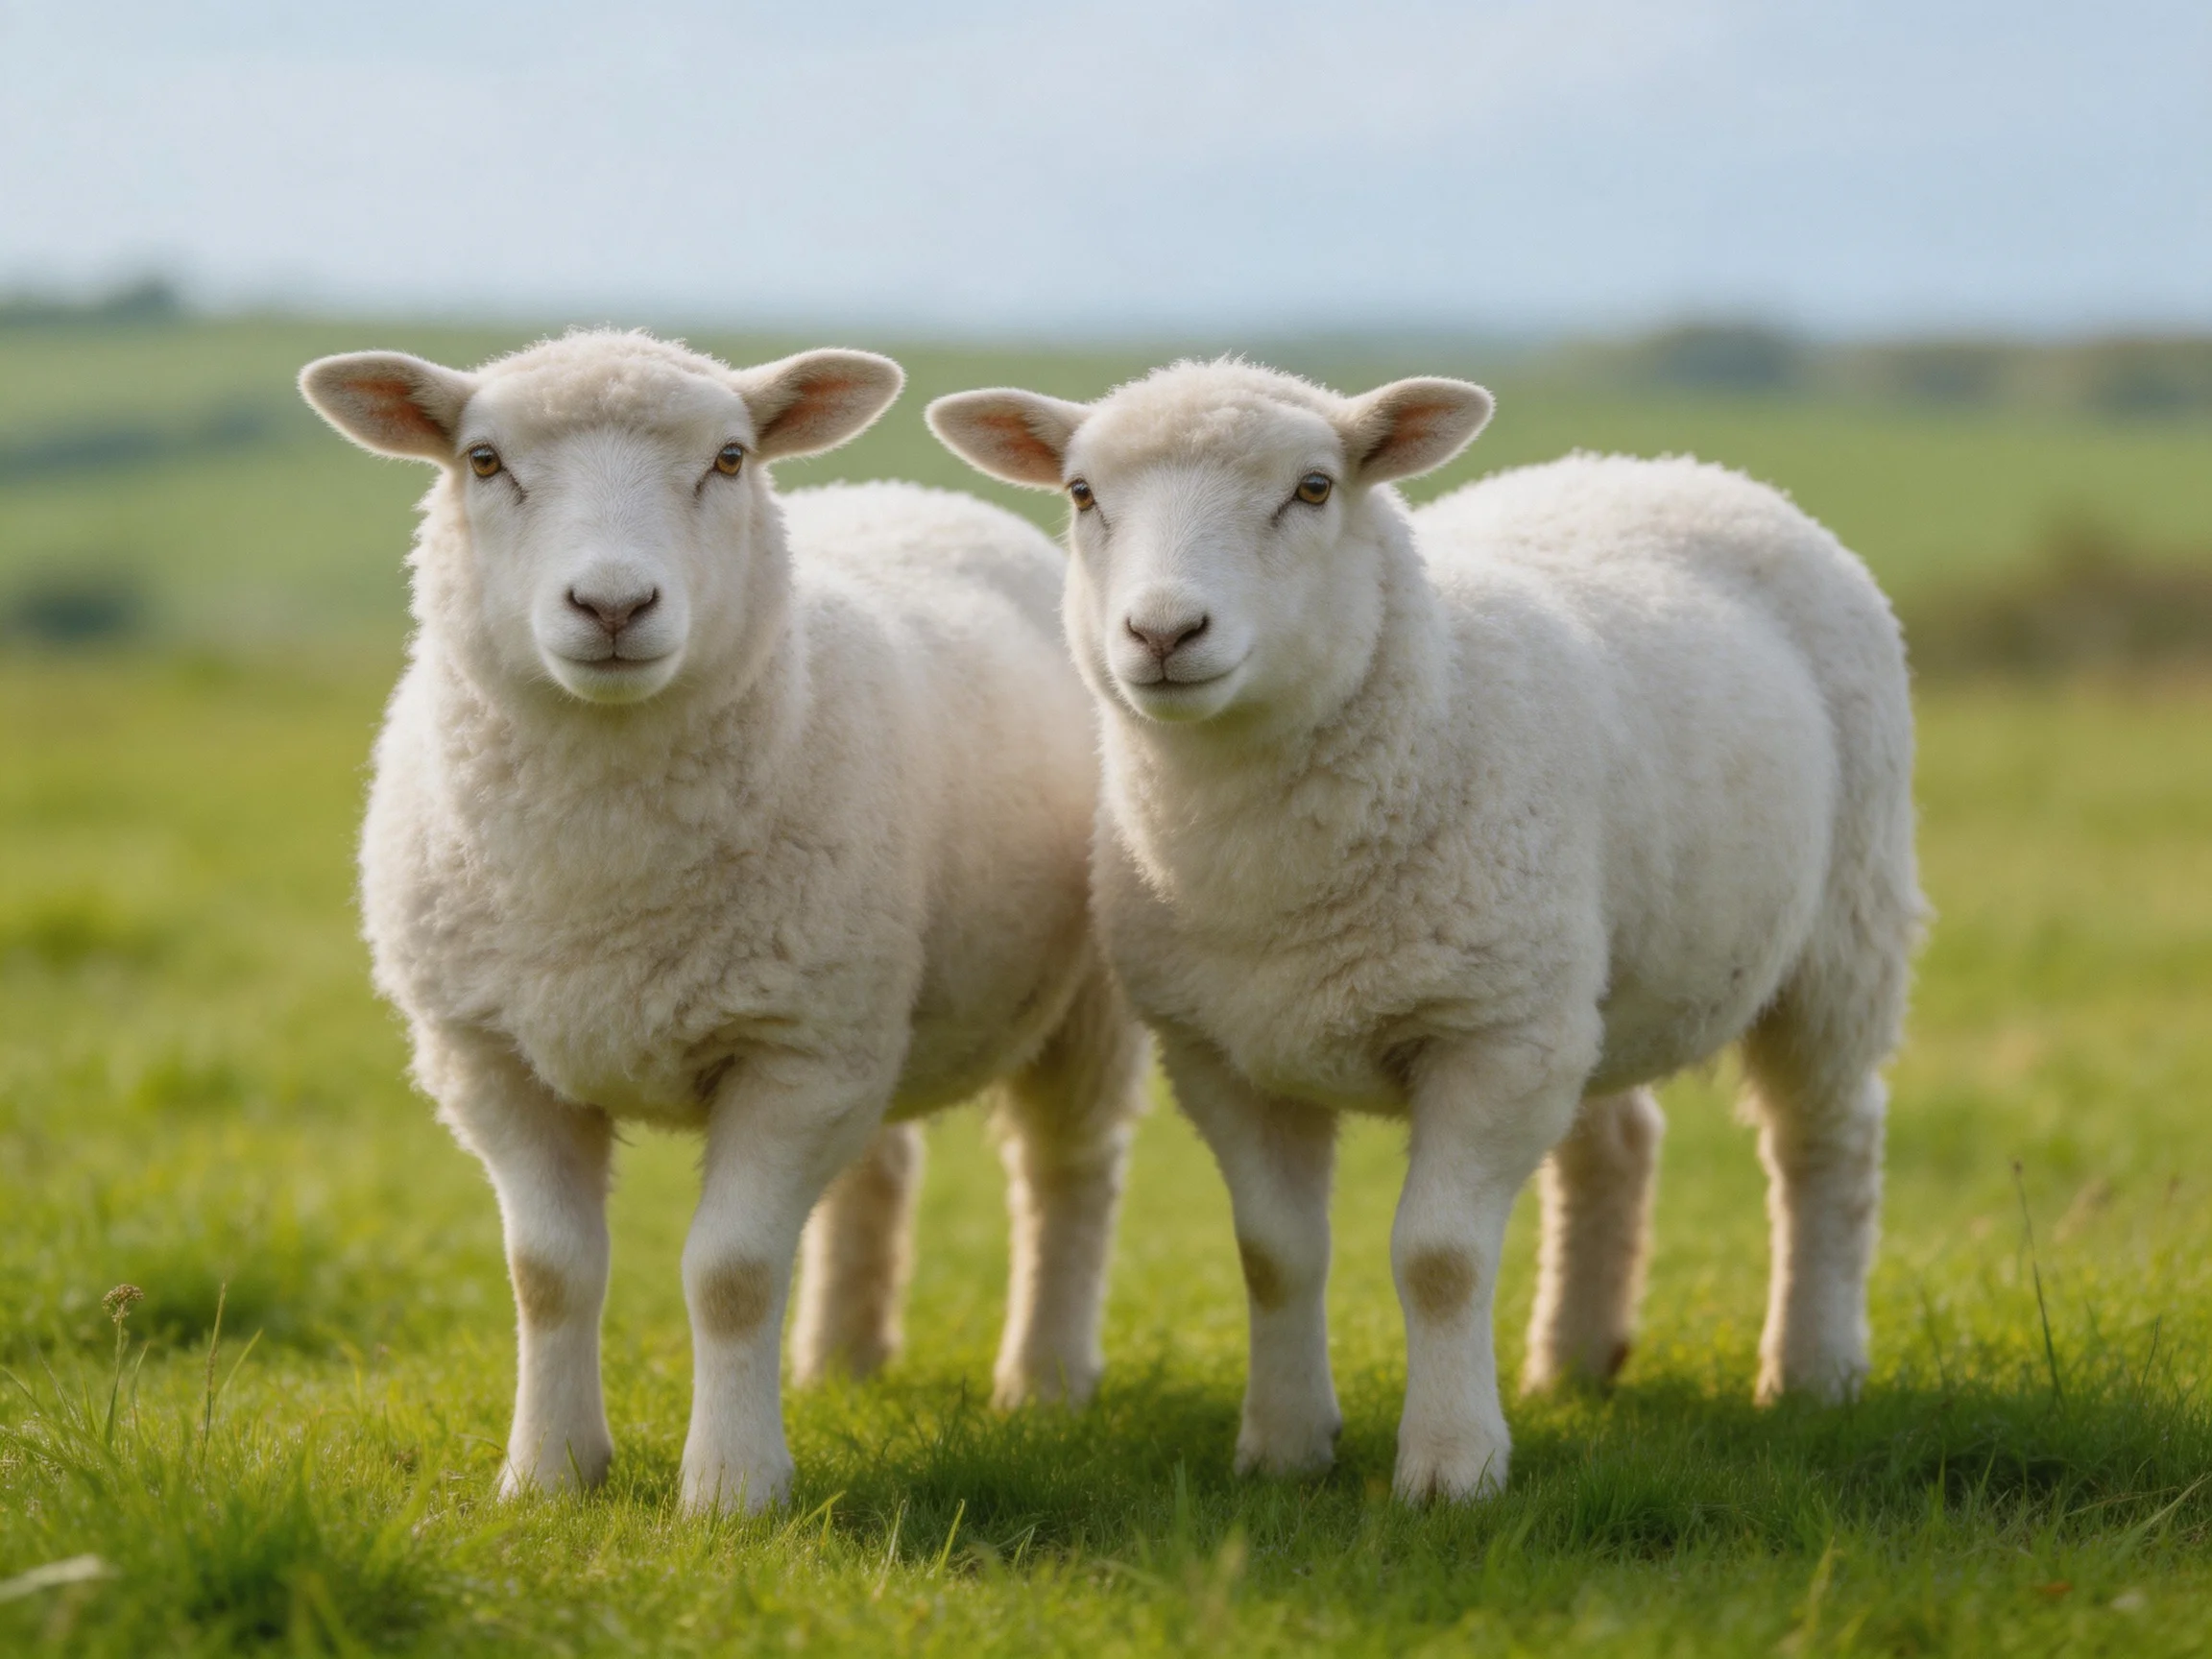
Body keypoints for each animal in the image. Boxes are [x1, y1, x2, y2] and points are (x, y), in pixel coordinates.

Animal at [299, 330, 1146, 1514]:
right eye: (482, 460)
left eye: (730, 458)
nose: (612, 605)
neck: (605, 872)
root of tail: (913, 493)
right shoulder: (491, 1057)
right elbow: (548, 1273)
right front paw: (548, 1475)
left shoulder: (791, 1052)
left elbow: (732, 1273)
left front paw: (733, 1491)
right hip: (866, 1002)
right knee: (879, 1169)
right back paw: (841, 1359)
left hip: (1069, 999)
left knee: (1066, 1172)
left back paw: (1045, 1379)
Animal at [928, 361, 1920, 1502]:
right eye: (1083, 493)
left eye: (1314, 488)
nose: (1165, 633)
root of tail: (1676, 466)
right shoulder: (1222, 1053)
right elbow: (1274, 1255)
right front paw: (1284, 1448)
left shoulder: (1489, 1036)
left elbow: (1439, 1259)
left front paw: (1451, 1467)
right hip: (1578, 975)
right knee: (1617, 1141)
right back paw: (1572, 1362)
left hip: (1841, 924)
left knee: (1825, 1140)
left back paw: (1811, 1367)